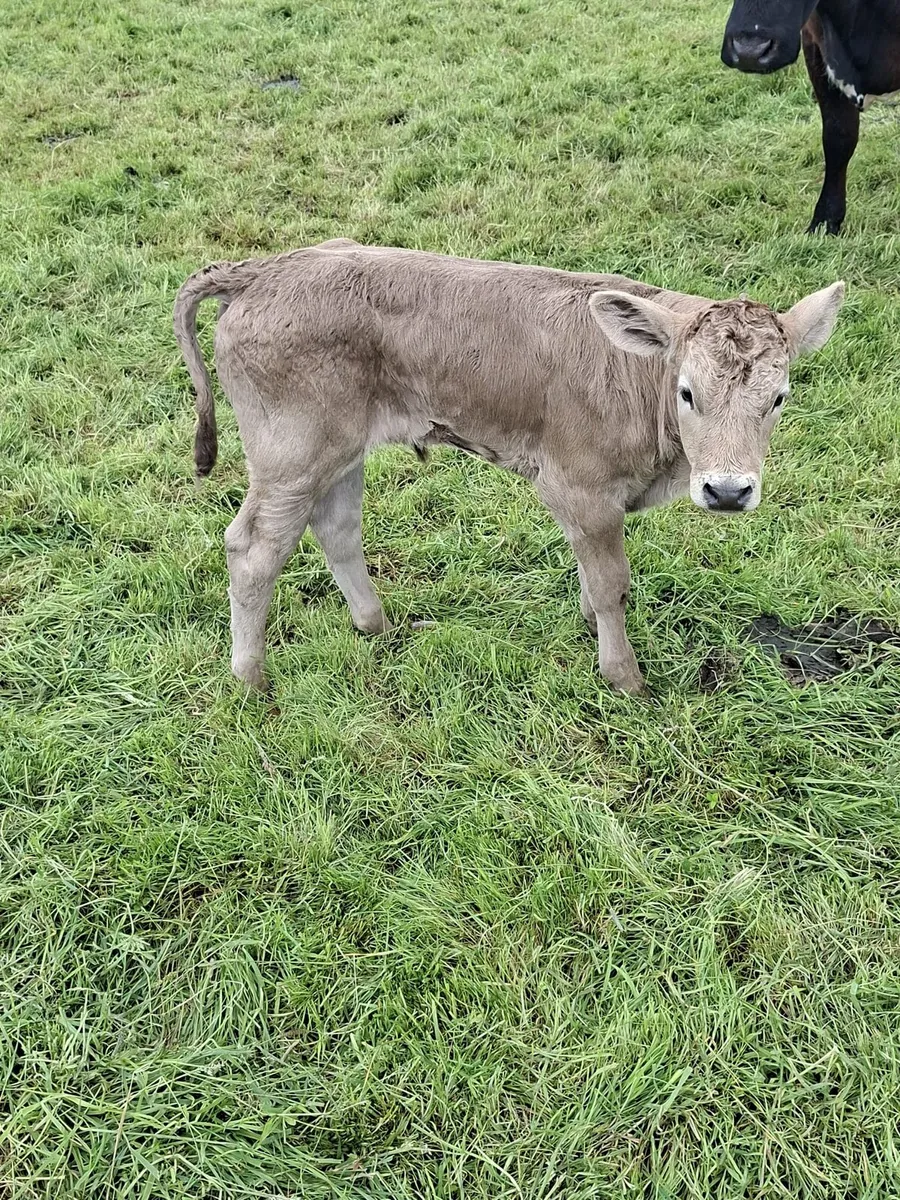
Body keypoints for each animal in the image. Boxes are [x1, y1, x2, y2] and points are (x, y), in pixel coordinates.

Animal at [173, 239, 844, 695]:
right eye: (687, 393)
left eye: (778, 398)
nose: (728, 491)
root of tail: (263, 270)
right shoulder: (580, 489)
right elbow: (612, 585)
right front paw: (623, 676)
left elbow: (592, 577)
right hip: (291, 456)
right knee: (253, 549)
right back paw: (251, 678)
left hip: (340, 450)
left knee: (336, 528)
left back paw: (376, 626)